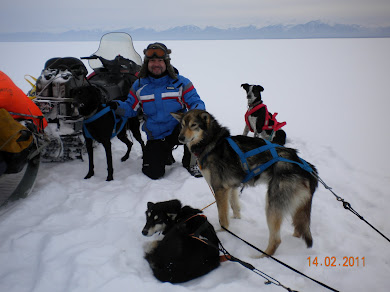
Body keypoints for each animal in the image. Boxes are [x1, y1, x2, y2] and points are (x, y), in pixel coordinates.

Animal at [172, 109, 318, 256]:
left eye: (193, 125)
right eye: (182, 125)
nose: (180, 138)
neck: (212, 143)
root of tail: (308, 169)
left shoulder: (220, 189)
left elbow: (222, 216)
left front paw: (223, 232)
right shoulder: (232, 187)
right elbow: (235, 206)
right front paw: (236, 221)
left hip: (272, 205)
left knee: (276, 240)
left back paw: (260, 257)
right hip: (295, 207)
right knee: (298, 229)